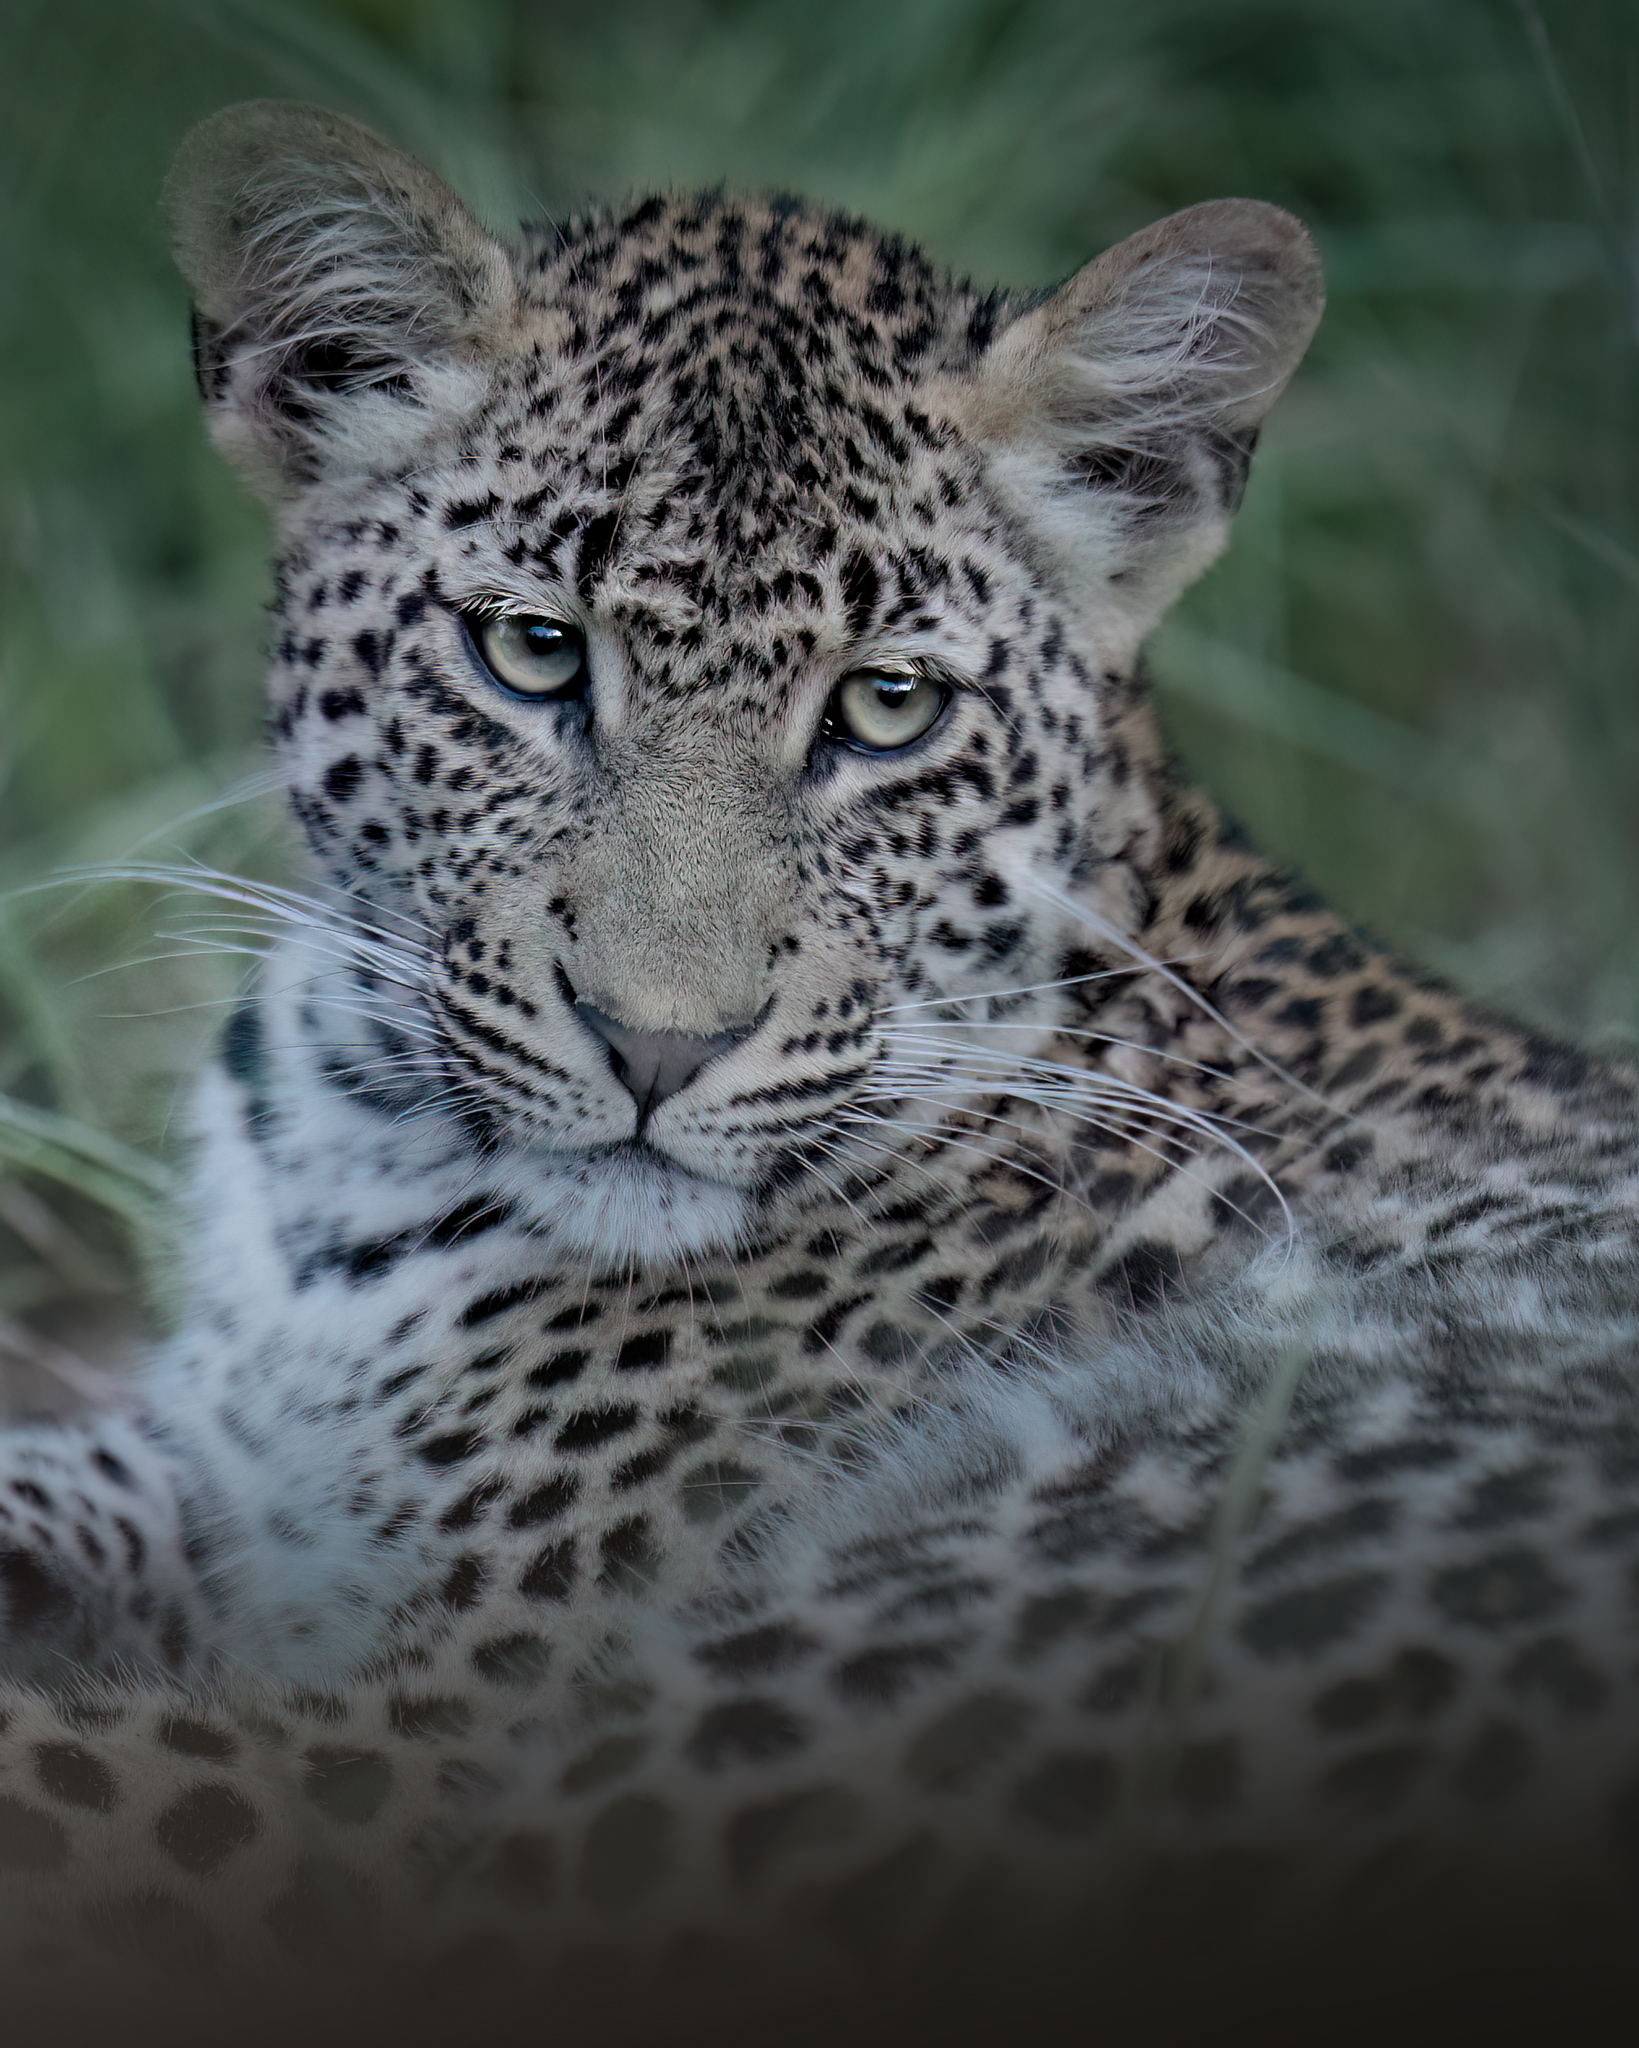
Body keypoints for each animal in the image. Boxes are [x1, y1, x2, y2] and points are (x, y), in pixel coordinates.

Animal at [3, 97, 1639, 2043]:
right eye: (530, 651)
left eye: (884, 708)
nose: (657, 1038)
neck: (356, 1132)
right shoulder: (224, 1476)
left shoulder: (409, 1729)